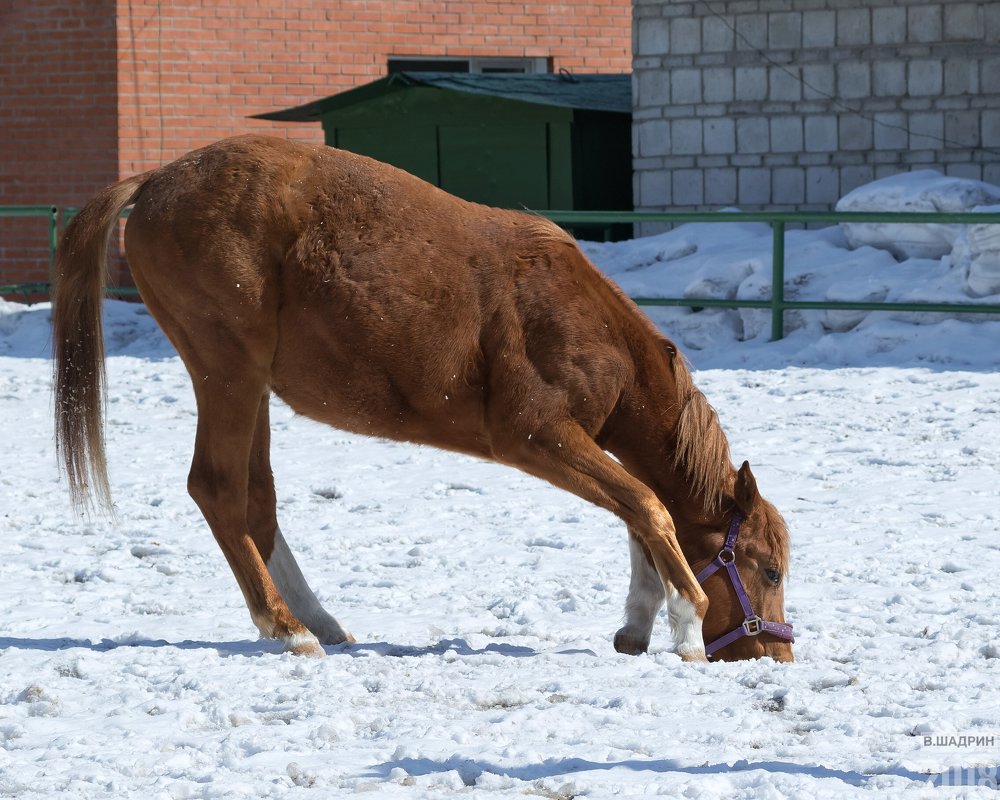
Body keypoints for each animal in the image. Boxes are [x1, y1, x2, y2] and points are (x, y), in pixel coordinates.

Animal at [54, 136, 792, 664]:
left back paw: (318, 620)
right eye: (767, 568)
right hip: (227, 374)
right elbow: (647, 507)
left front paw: (638, 627)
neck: (586, 326)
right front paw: (687, 625)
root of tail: (155, 180)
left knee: (254, 502)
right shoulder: (537, 437)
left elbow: (639, 517)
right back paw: (287, 628)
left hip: (249, 386)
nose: (774, 655)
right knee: (217, 489)